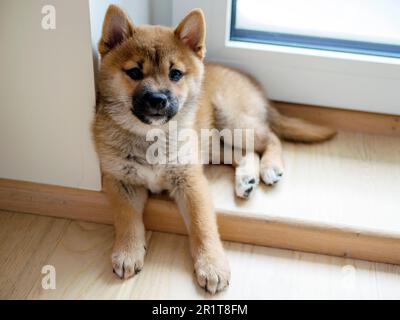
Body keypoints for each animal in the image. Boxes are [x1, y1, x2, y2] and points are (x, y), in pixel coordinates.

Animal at [93, 5, 334, 296]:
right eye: (135, 73)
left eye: (175, 74)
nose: (158, 100)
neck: (151, 138)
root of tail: (255, 85)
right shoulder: (121, 182)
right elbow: (127, 219)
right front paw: (128, 251)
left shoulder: (191, 181)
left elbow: (202, 226)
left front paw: (211, 264)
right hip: (212, 143)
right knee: (243, 153)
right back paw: (246, 179)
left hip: (231, 121)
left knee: (271, 138)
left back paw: (270, 167)